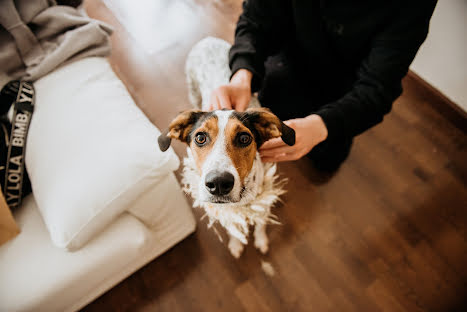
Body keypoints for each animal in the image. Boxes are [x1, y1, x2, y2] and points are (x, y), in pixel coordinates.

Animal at [157, 37, 296, 258]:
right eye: (200, 138)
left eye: (244, 138)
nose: (219, 183)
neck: (240, 201)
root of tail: (207, 40)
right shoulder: (224, 211)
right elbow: (233, 227)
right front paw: (236, 244)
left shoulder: (262, 202)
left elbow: (260, 224)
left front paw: (261, 240)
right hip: (193, 89)